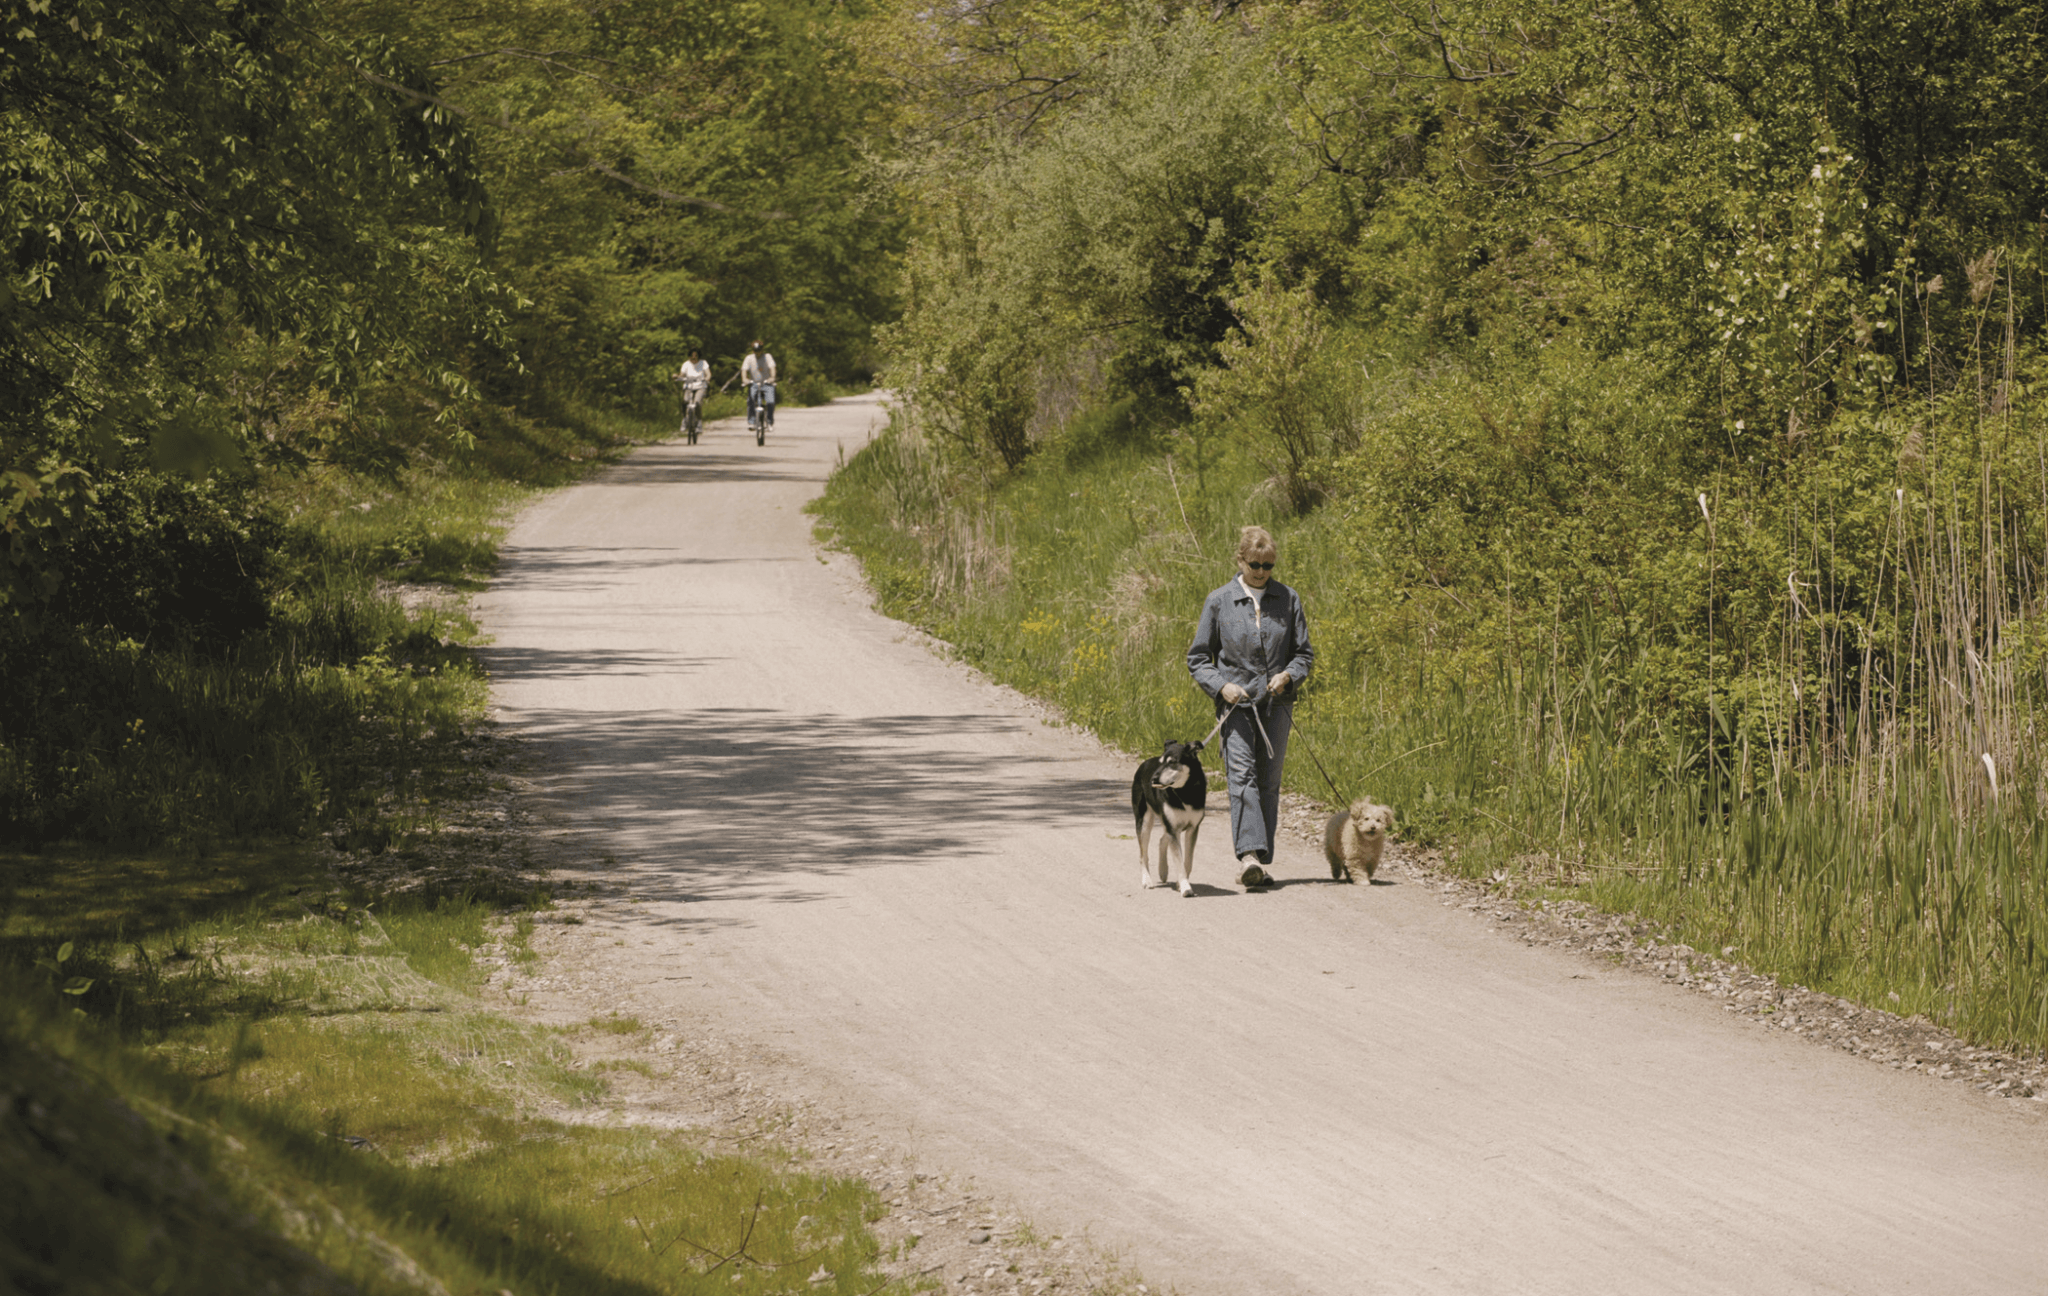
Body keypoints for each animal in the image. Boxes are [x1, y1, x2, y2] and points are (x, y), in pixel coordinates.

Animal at [1138, 741, 1196, 892]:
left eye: (1172, 763)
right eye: (1161, 763)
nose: (1154, 779)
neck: (1184, 793)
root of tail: (1145, 762)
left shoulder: (1192, 828)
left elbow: (1187, 861)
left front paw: (1181, 883)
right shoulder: (1173, 827)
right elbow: (1179, 861)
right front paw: (1185, 887)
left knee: (1162, 840)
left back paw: (1163, 870)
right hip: (1145, 823)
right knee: (1143, 855)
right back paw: (1147, 880)